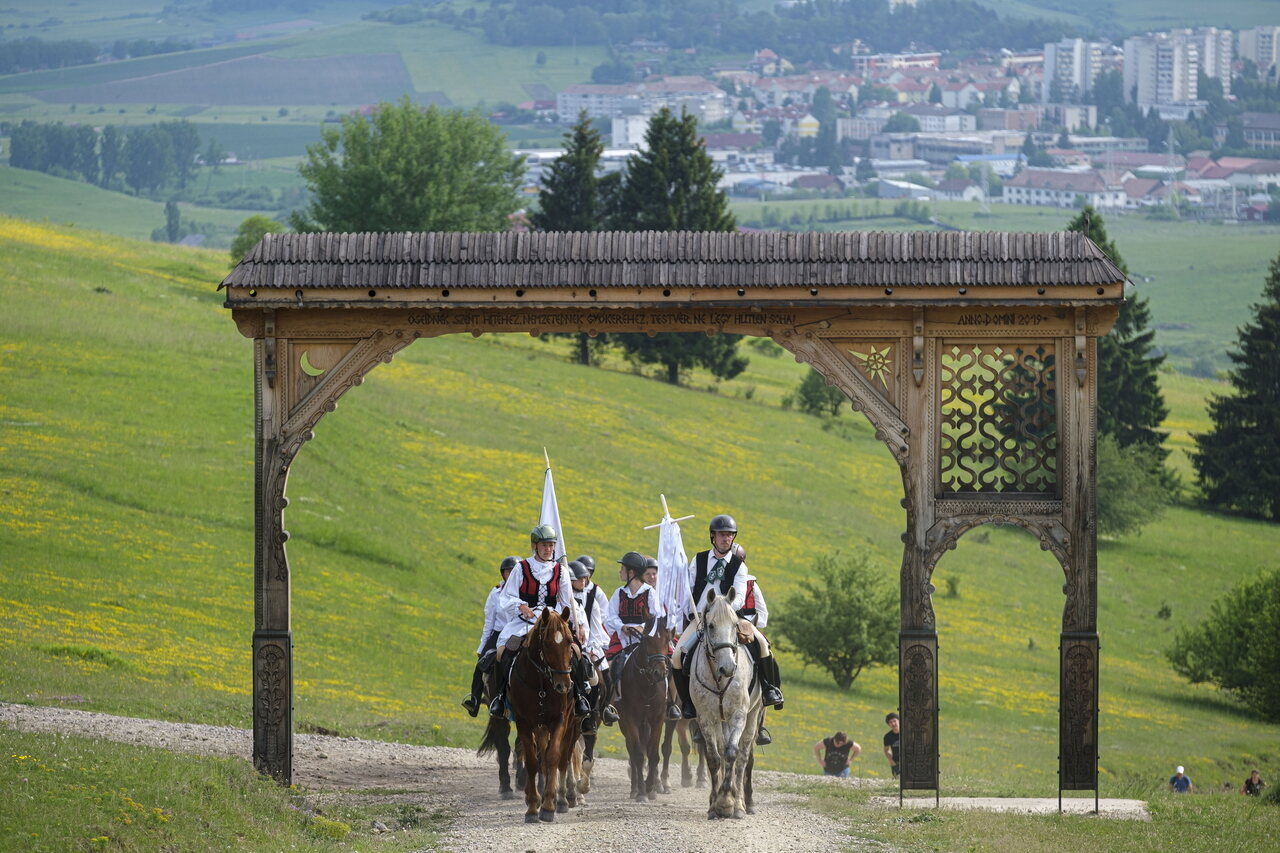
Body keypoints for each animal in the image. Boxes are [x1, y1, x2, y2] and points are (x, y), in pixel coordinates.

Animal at [504, 604, 576, 819]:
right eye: (547, 643)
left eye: (570, 641)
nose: (564, 685)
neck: (541, 684)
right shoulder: (524, 722)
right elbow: (532, 761)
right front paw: (532, 807)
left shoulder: (559, 719)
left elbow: (553, 757)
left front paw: (548, 806)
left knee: (561, 757)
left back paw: (559, 799)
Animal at [614, 612, 675, 799]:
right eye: (647, 640)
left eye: (667, 640)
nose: (659, 673)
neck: (647, 685)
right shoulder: (631, 719)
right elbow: (638, 754)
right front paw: (642, 791)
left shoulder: (657, 719)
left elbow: (653, 753)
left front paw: (651, 788)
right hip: (625, 722)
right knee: (632, 750)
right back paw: (634, 788)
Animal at [691, 584, 757, 819]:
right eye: (711, 626)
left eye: (735, 625)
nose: (728, 668)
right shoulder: (706, 717)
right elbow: (714, 757)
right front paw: (715, 804)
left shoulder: (739, 714)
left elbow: (732, 754)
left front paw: (728, 802)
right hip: (722, 721)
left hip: (753, 716)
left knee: (743, 758)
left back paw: (740, 803)